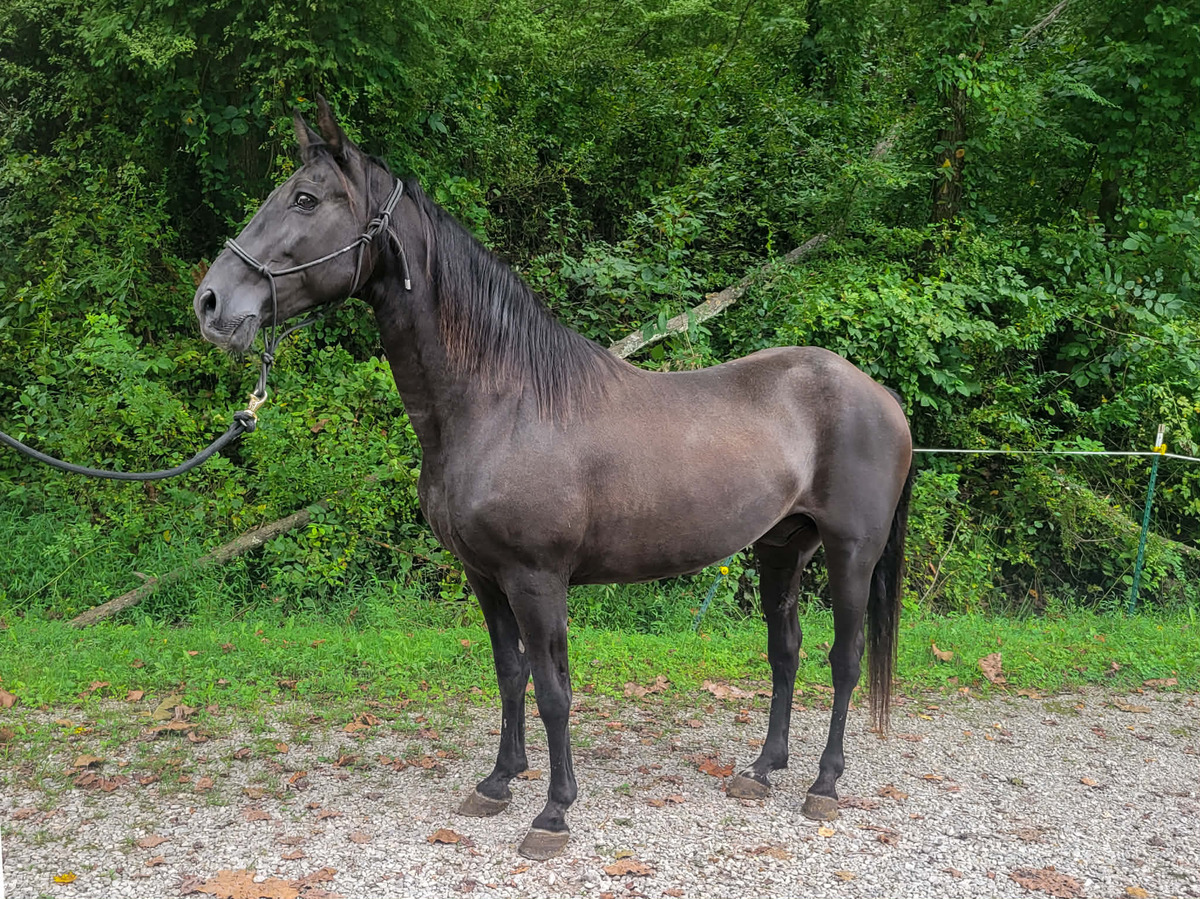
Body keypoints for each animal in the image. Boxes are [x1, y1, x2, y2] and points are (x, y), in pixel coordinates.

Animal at [194, 97, 914, 861]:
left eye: (305, 198)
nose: (210, 303)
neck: (502, 402)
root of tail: (880, 395)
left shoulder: (538, 579)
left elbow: (552, 690)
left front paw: (553, 812)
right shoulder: (485, 576)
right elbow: (510, 674)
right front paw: (497, 782)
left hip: (850, 551)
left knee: (845, 658)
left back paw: (824, 783)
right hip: (782, 546)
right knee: (786, 652)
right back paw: (761, 770)